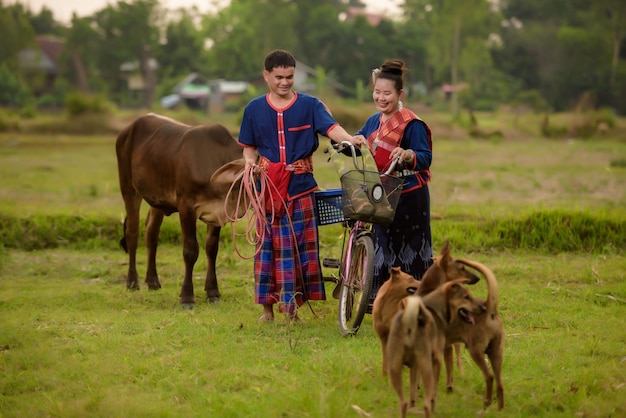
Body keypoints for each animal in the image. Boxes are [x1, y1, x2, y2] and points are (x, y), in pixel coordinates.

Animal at [116, 114, 245, 306]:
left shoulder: (217, 211)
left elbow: (212, 249)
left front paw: (213, 292)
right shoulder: (186, 208)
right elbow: (190, 250)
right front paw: (187, 297)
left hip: (157, 199)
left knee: (151, 234)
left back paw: (153, 281)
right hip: (128, 188)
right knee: (132, 233)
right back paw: (132, 282)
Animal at [386, 280, 482, 418]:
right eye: (467, 297)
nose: (484, 308)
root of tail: (410, 323)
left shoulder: (414, 366)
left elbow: (413, 391)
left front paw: (413, 403)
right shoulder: (436, 360)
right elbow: (433, 393)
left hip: (395, 368)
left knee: (403, 403)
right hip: (426, 367)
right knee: (426, 404)